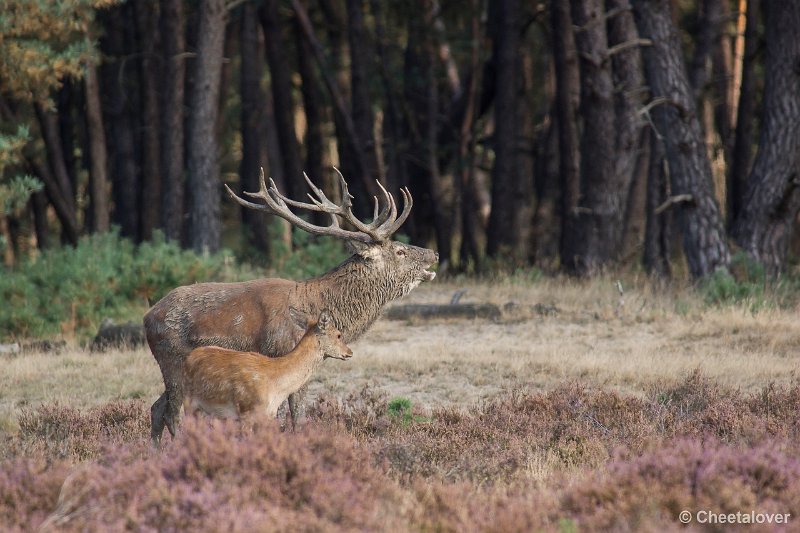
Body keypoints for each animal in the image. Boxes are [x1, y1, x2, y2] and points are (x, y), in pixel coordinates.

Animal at [184, 310, 354, 422]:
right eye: (338, 334)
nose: (349, 352)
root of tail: (189, 357)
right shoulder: (246, 411)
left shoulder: (269, 414)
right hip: (188, 402)